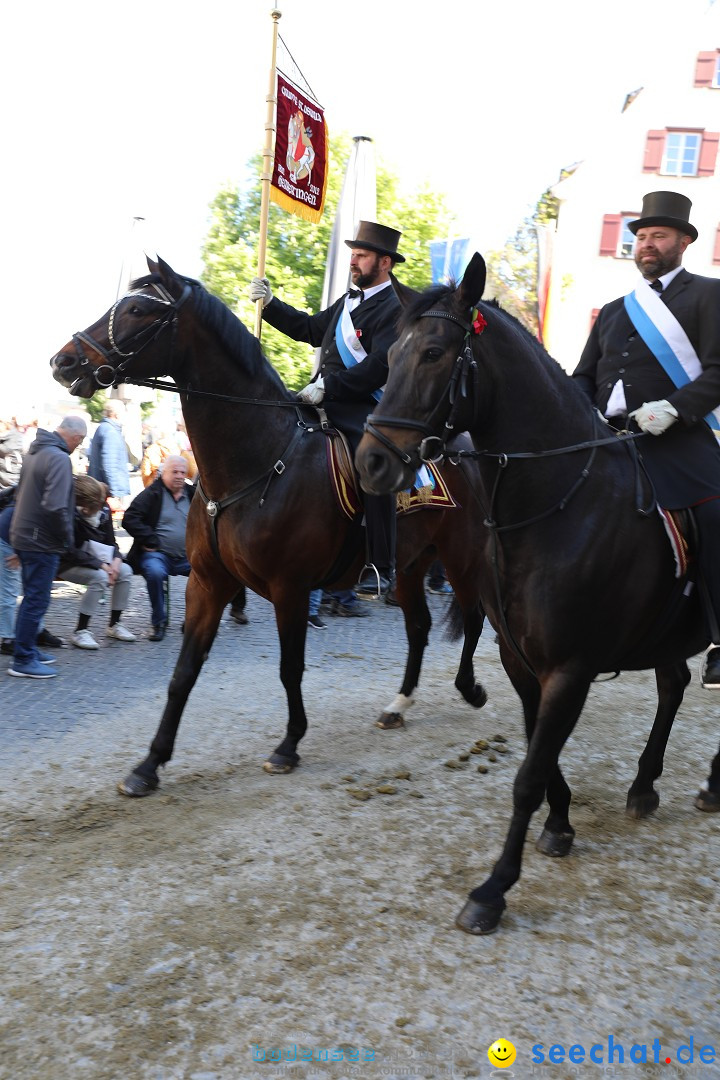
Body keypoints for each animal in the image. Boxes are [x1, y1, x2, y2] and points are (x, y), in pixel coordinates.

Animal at [49, 252, 490, 794]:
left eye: (136, 309)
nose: (63, 362)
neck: (255, 459)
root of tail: (466, 444)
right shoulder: (208, 583)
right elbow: (184, 672)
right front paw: (149, 764)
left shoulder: (290, 587)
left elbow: (290, 668)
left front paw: (289, 744)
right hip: (408, 566)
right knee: (419, 626)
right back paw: (399, 703)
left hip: (462, 556)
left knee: (473, 615)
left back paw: (469, 687)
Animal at [356, 252, 720, 937]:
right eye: (388, 357)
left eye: (436, 353)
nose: (370, 463)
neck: (559, 504)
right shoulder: (522, 661)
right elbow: (538, 755)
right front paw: (560, 824)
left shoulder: (570, 669)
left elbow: (526, 775)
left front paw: (493, 889)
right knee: (673, 686)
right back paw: (645, 785)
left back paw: (710, 782)